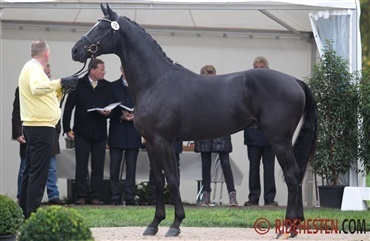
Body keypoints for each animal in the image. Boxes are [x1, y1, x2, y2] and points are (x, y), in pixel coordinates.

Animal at [72, 3, 318, 237]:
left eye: (101, 28)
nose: (75, 50)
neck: (155, 82)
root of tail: (295, 81)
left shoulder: (164, 141)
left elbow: (172, 180)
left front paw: (175, 224)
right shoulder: (150, 143)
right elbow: (158, 181)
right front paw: (154, 224)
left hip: (278, 140)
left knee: (292, 176)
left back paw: (288, 228)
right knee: (297, 175)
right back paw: (296, 225)